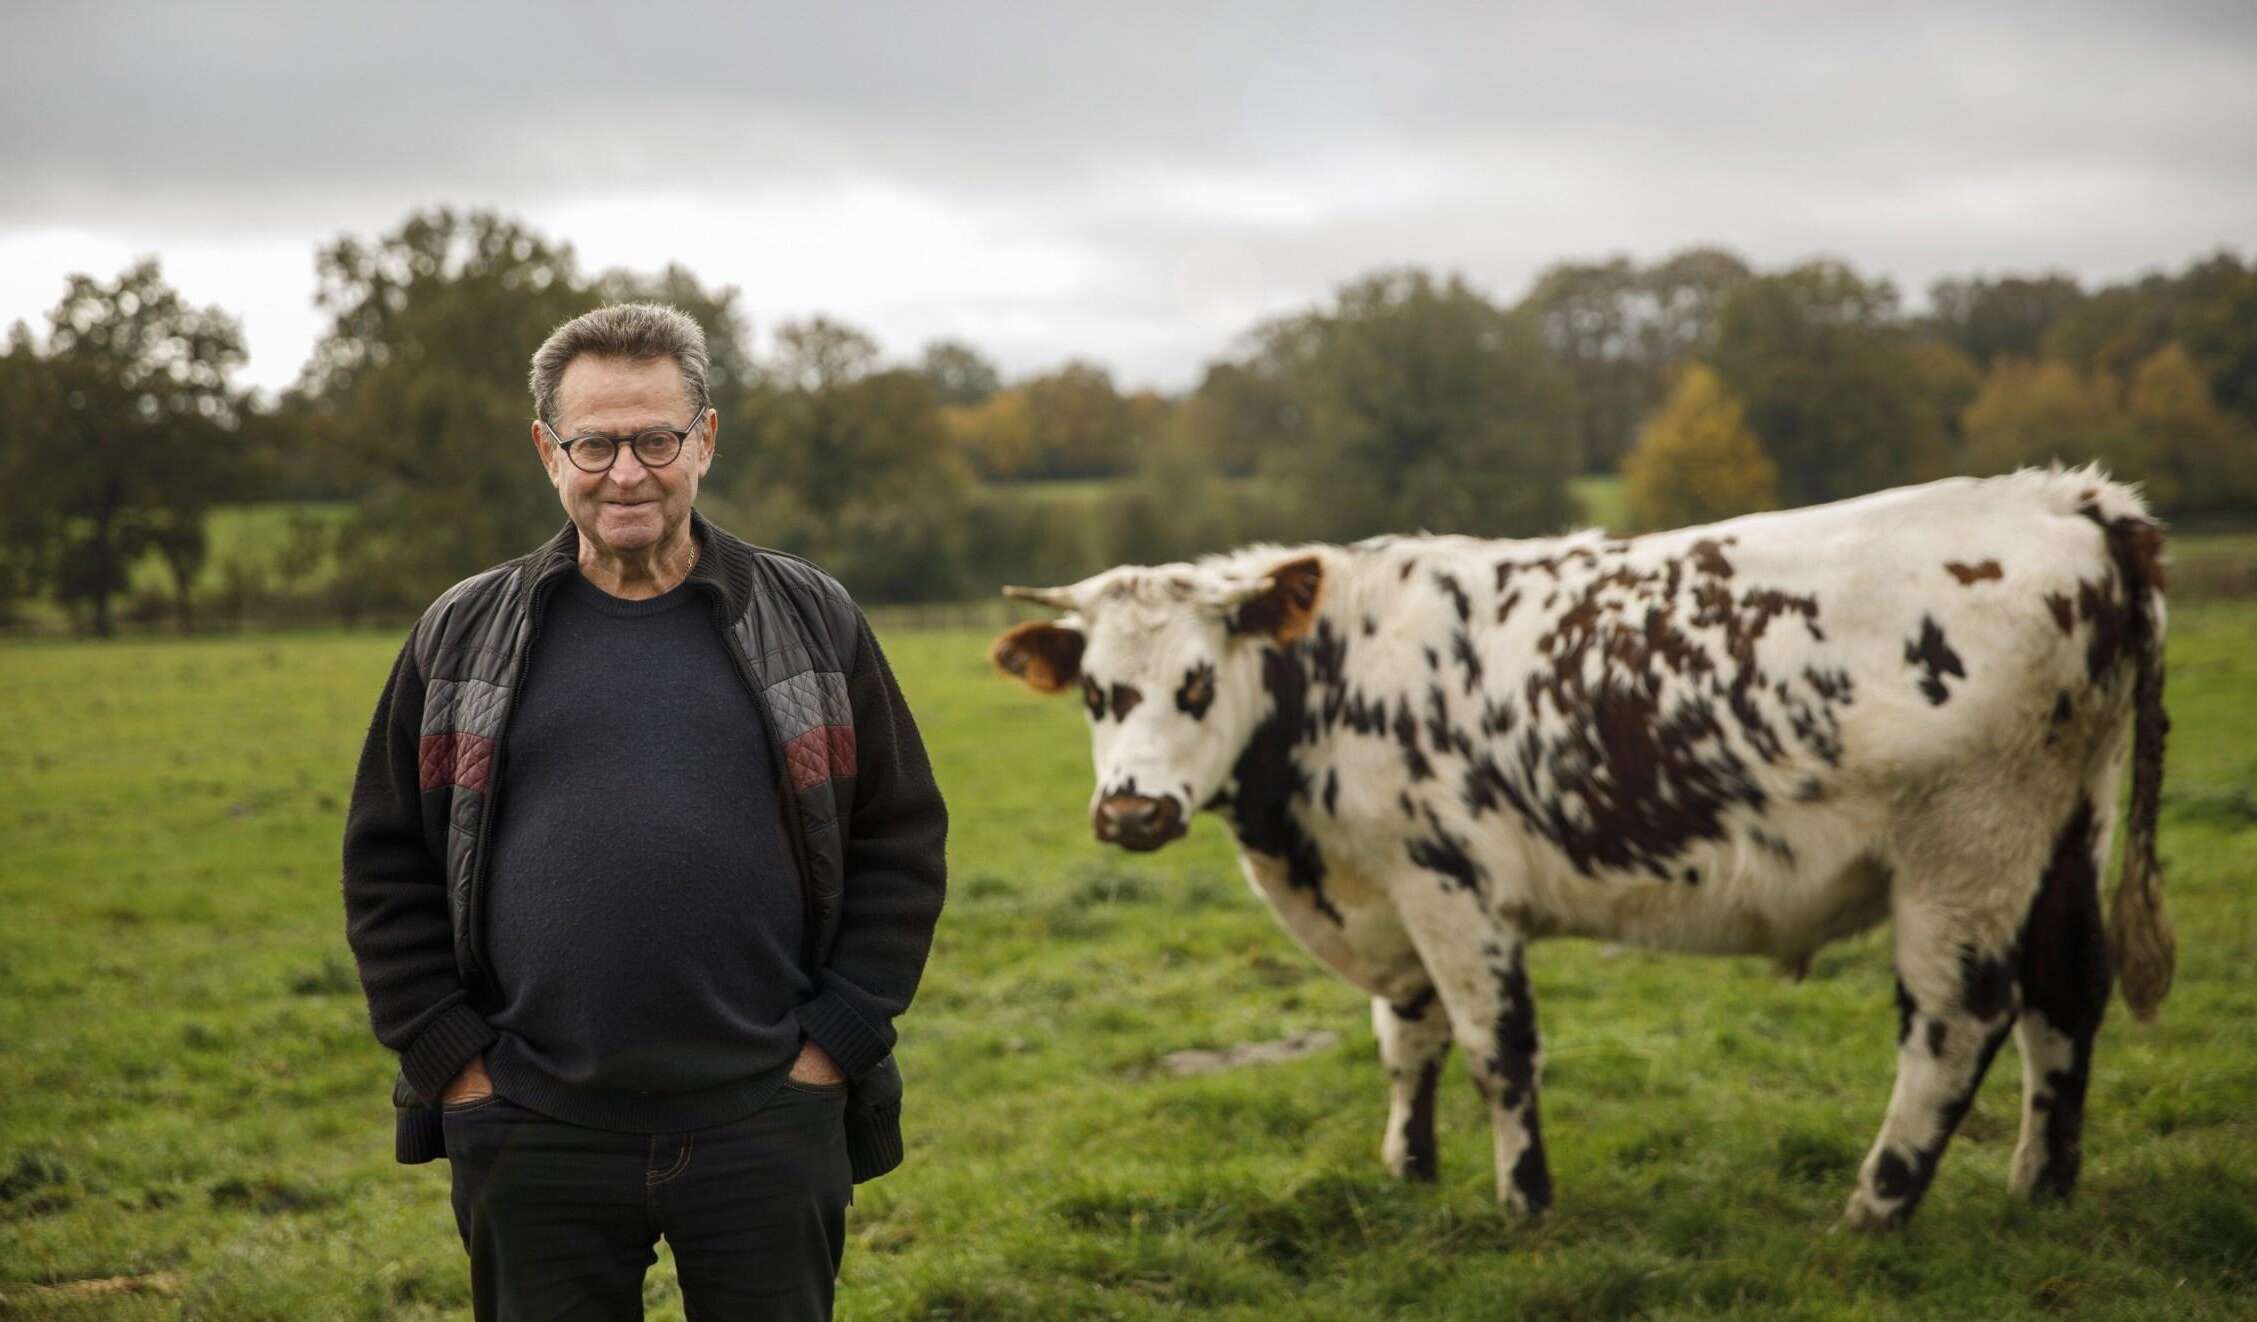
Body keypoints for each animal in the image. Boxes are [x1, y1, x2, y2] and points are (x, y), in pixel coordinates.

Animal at [984, 462, 2166, 1227]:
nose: (1131, 811)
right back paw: (2038, 1190)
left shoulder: (1448, 884)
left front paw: (1523, 1201)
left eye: (1195, 682)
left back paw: (1873, 1206)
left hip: (1962, 843)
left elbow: (1493, 1046)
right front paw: (1406, 1169)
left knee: (1957, 1019)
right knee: (2065, 991)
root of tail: (2069, 497)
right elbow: (1404, 1035)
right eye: (1095, 690)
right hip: (2065, 824)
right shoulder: (1392, 896)